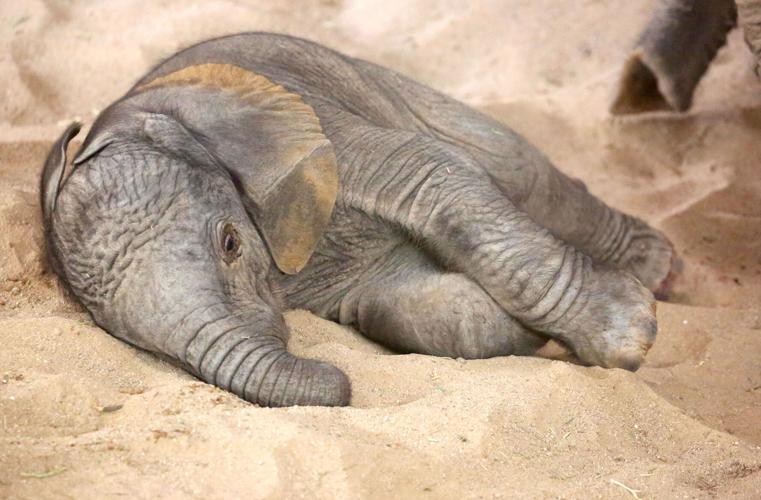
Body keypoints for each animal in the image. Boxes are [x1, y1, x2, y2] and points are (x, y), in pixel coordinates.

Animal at [41, 33, 677, 407]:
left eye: (230, 243)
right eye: (119, 336)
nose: (343, 382)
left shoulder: (325, 131)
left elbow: (434, 176)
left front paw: (629, 340)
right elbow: (426, 311)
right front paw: (523, 334)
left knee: (526, 175)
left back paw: (663, 271)